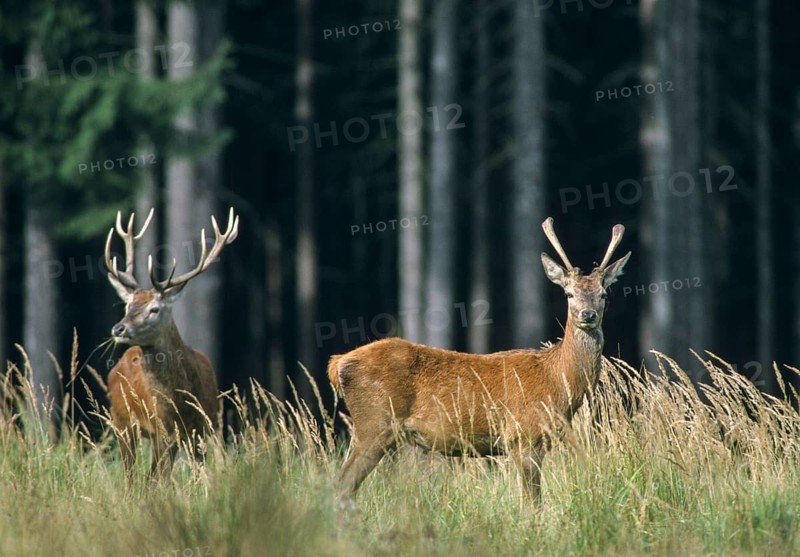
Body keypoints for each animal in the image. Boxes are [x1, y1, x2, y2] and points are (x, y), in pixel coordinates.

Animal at [103, 207, 239, 481]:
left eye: (154, 309)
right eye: (127, 305)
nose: (118, 328)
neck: (182, 398)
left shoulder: (206, 423)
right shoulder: (163, 428)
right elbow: (160, 479)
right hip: (122, 422)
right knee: (132, 474)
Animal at [328, 218, 630, 503]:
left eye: (604, 294)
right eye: (569, 293)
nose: (588, 315)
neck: (558, 383)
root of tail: (338, 363)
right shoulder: (523, 435)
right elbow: (532, 502)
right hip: (374, 424)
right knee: (342, 485)